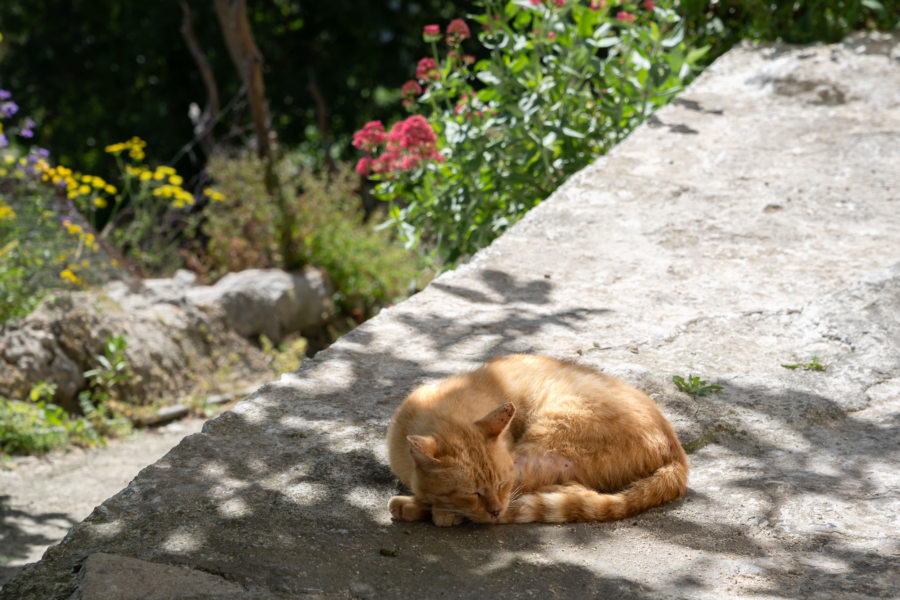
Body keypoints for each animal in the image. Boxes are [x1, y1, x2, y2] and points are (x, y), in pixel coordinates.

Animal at [386, 354, 688, 528]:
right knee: (582, 493)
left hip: (545, 442)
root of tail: (678, 452)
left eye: (501, 484)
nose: (495, 511)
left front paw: (430, 507)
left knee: (576, 496)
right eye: (473, 492)